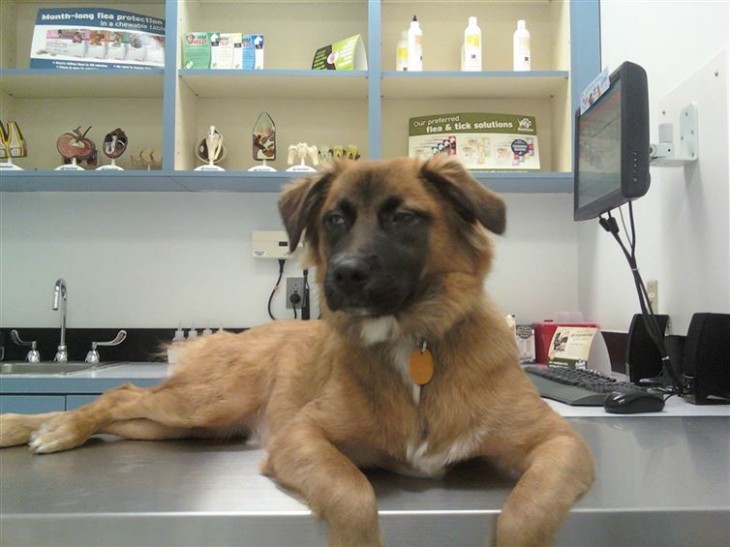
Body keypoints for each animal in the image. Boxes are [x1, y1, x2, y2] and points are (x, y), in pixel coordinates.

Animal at [0, 155, 592, 547]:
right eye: (335, 218)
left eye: (404, 217)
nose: (343, 275)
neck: (412, 341)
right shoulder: (301, 437)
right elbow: (353, 492)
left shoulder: (560, 444)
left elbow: (526, 511)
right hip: (204, 404)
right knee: (119, 392)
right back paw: (52, 428)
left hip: (186, 426)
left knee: (122, 412)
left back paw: (34, 426)